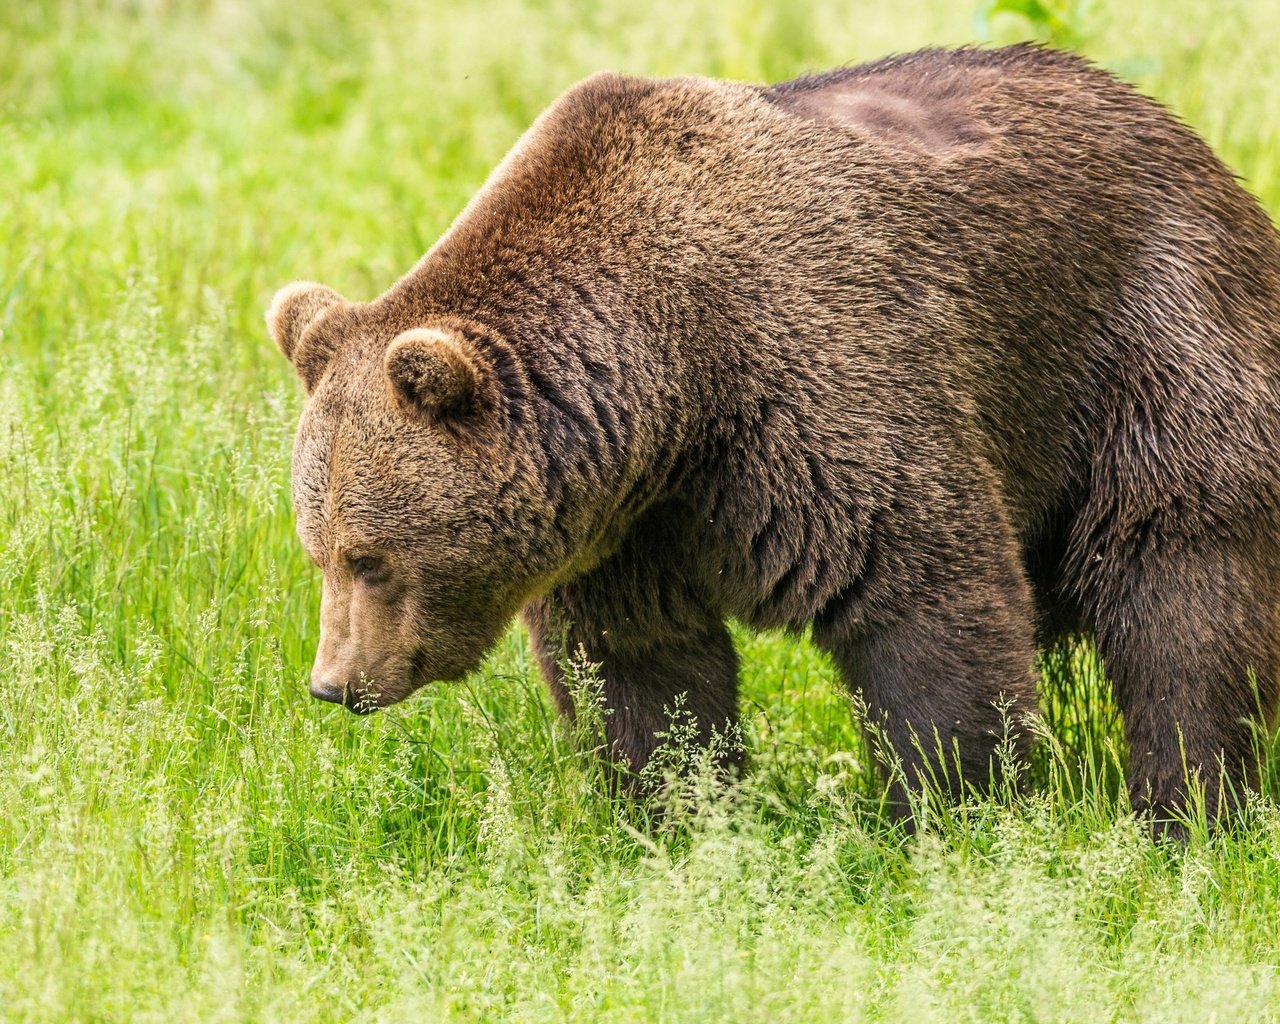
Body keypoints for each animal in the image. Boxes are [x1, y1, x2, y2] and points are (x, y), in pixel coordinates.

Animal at [270, 46, 1280, 829]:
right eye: (316, 550)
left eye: (370, 558)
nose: (334, 683)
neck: (672, 379)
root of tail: (1196, 149)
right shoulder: (626, 522)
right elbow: (644, 671)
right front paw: (676, 819)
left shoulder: (821, 380)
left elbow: (928, 598)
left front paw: (953, 813)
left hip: (1146, 348)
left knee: (1181, 597)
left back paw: (1183, 811)